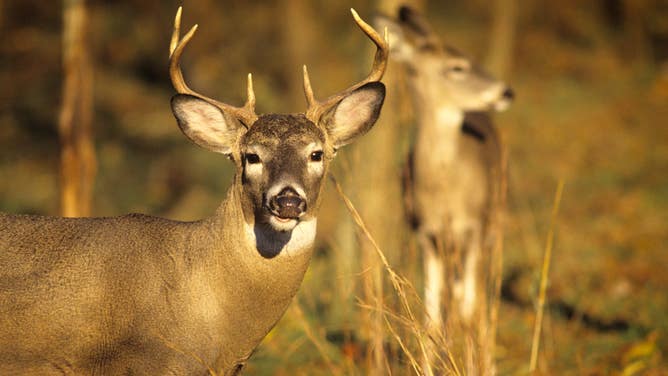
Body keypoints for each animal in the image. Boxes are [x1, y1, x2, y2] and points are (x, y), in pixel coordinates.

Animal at [378, 5, 516, 376]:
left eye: (469, 55)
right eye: (457, 67)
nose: (506, 92)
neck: (443, 195)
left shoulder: (473, 229)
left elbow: (469, 312)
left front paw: (473, 366)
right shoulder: (426, 234)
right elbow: (431, 318)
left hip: (495, 224)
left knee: (482, 299)